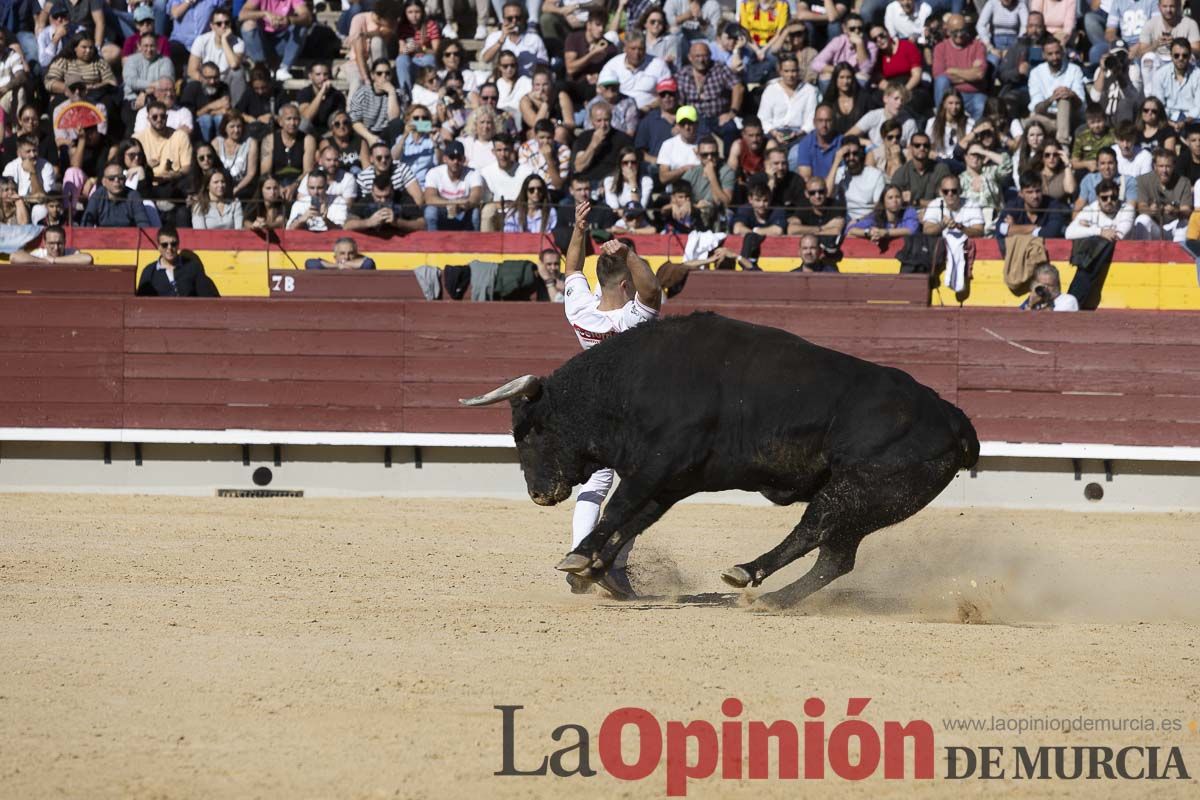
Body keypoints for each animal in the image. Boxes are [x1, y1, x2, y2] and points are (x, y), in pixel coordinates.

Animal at [458, 311, 974, 606]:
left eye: (530, 431)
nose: (538, 494)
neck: (626, 384)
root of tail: (953, 419)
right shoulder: (671, 481)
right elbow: (632, 521)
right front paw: (596, 572)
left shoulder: (656, 466)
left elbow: (619, 510)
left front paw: (578, 560)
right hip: (868, 504)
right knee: (835, 557)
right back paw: (774, 599)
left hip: (858, 489)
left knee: (813, 531)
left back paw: (748, 574)